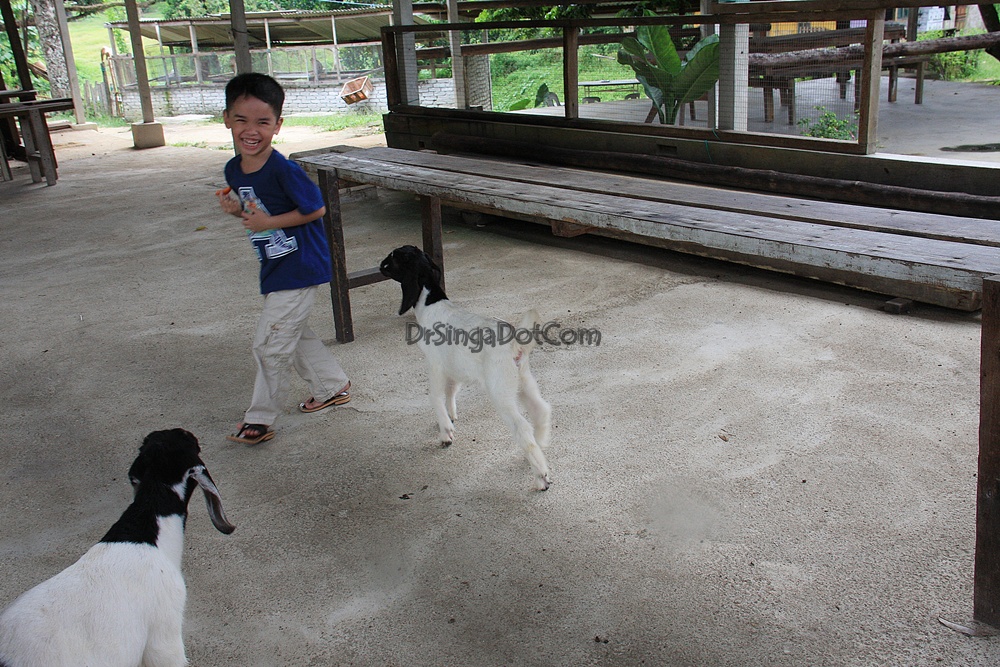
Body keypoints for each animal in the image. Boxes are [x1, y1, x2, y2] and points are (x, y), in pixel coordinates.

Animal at [379, 245, 552, 491]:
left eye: (396, 257)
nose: (380, 266)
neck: (432, 303)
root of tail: (515, 345)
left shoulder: (435, 364)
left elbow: (434, 396)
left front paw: (446, 433)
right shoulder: (453, 368)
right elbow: (451, 390)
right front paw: (451, 416)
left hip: (501, 391)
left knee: (522, 427)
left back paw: (540, 477)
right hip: (523, 380)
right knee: (541, 409)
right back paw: (540, 450)